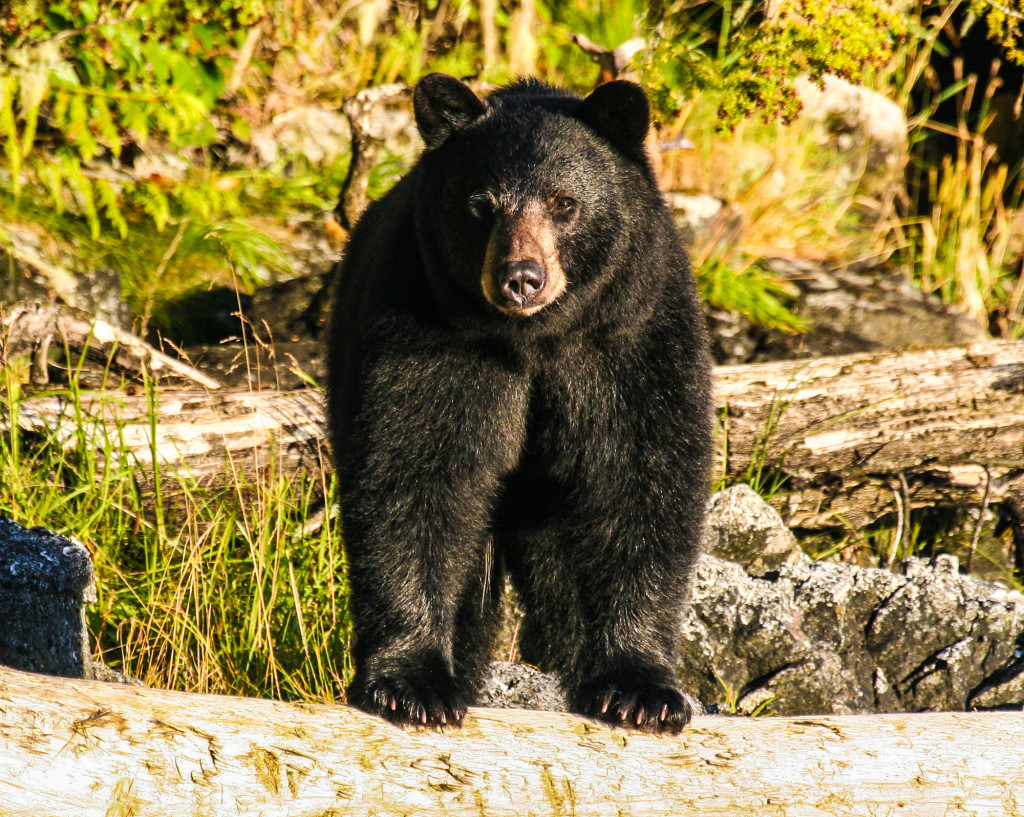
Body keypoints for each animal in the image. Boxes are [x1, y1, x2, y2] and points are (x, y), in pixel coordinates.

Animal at [327, 73, 712, 733]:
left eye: (564, 203)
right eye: (481, 204)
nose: (521, 277)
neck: (535, 338)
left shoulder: (630, 335)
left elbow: (641, 475)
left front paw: (641, 688)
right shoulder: (429, 330)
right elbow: (415, 472)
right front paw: (413, 682)